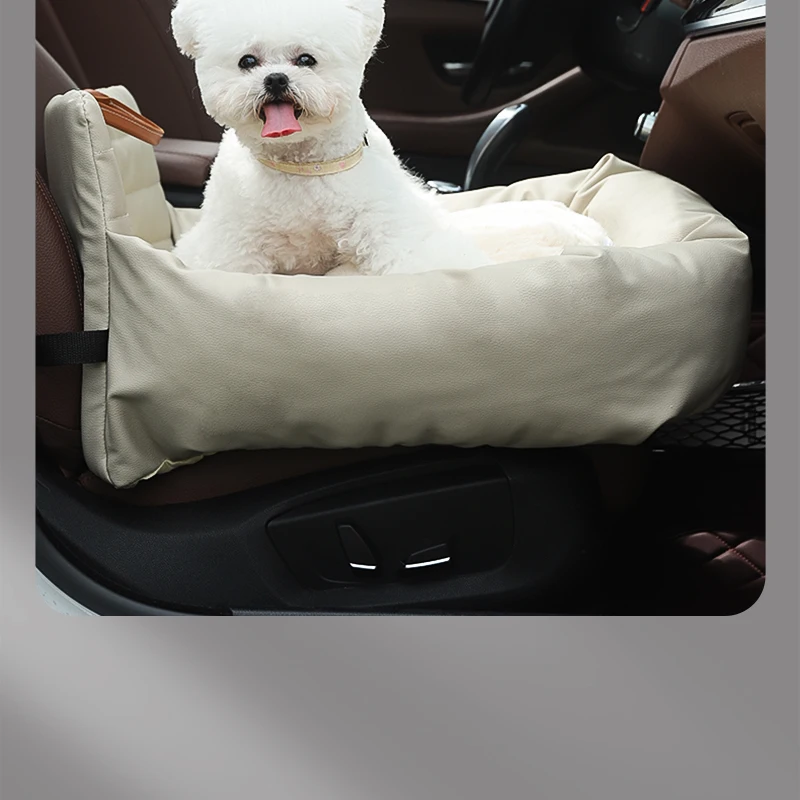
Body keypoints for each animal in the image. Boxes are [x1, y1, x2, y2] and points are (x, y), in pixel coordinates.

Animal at [170, 0, 612, 276]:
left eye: (306, 59)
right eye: (247, 61)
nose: (276, 78)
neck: (301, 165)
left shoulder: (389, 227)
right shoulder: (232, 245)